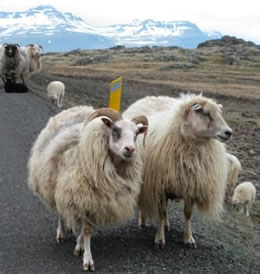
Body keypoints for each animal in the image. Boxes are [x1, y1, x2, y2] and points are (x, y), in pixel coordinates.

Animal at [27, 106, 148, 270]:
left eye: (136, 134)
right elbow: (86, 230)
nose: (130, 149)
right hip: (57, 185)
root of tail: (75, 108)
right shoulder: (81, 195)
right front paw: (88, 260)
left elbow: (87, 228)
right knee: (60, 211)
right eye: (115, 130)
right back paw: (61, 232)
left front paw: (80, 246)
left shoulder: (96, 201)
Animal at [123, 93, 233, 248]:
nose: (228, 132)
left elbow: (187, 214)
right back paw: (143, 220)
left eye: (219, 113)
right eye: (206, 113)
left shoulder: (191, 186)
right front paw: (160, 239)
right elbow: (162, 212)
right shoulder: (160, 185)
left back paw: (166, 224)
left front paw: (189, 238)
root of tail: (153, 97)